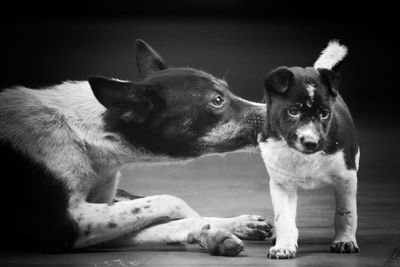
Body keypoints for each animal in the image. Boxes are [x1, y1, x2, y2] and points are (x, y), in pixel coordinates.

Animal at [258, 41, 360, 260]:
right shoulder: (281, 183)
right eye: (293, 111)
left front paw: (345, 241)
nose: (311, 143)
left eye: (324, 114)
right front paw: (284, 246)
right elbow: (283, 218)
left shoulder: (346, 177)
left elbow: (345, 212)